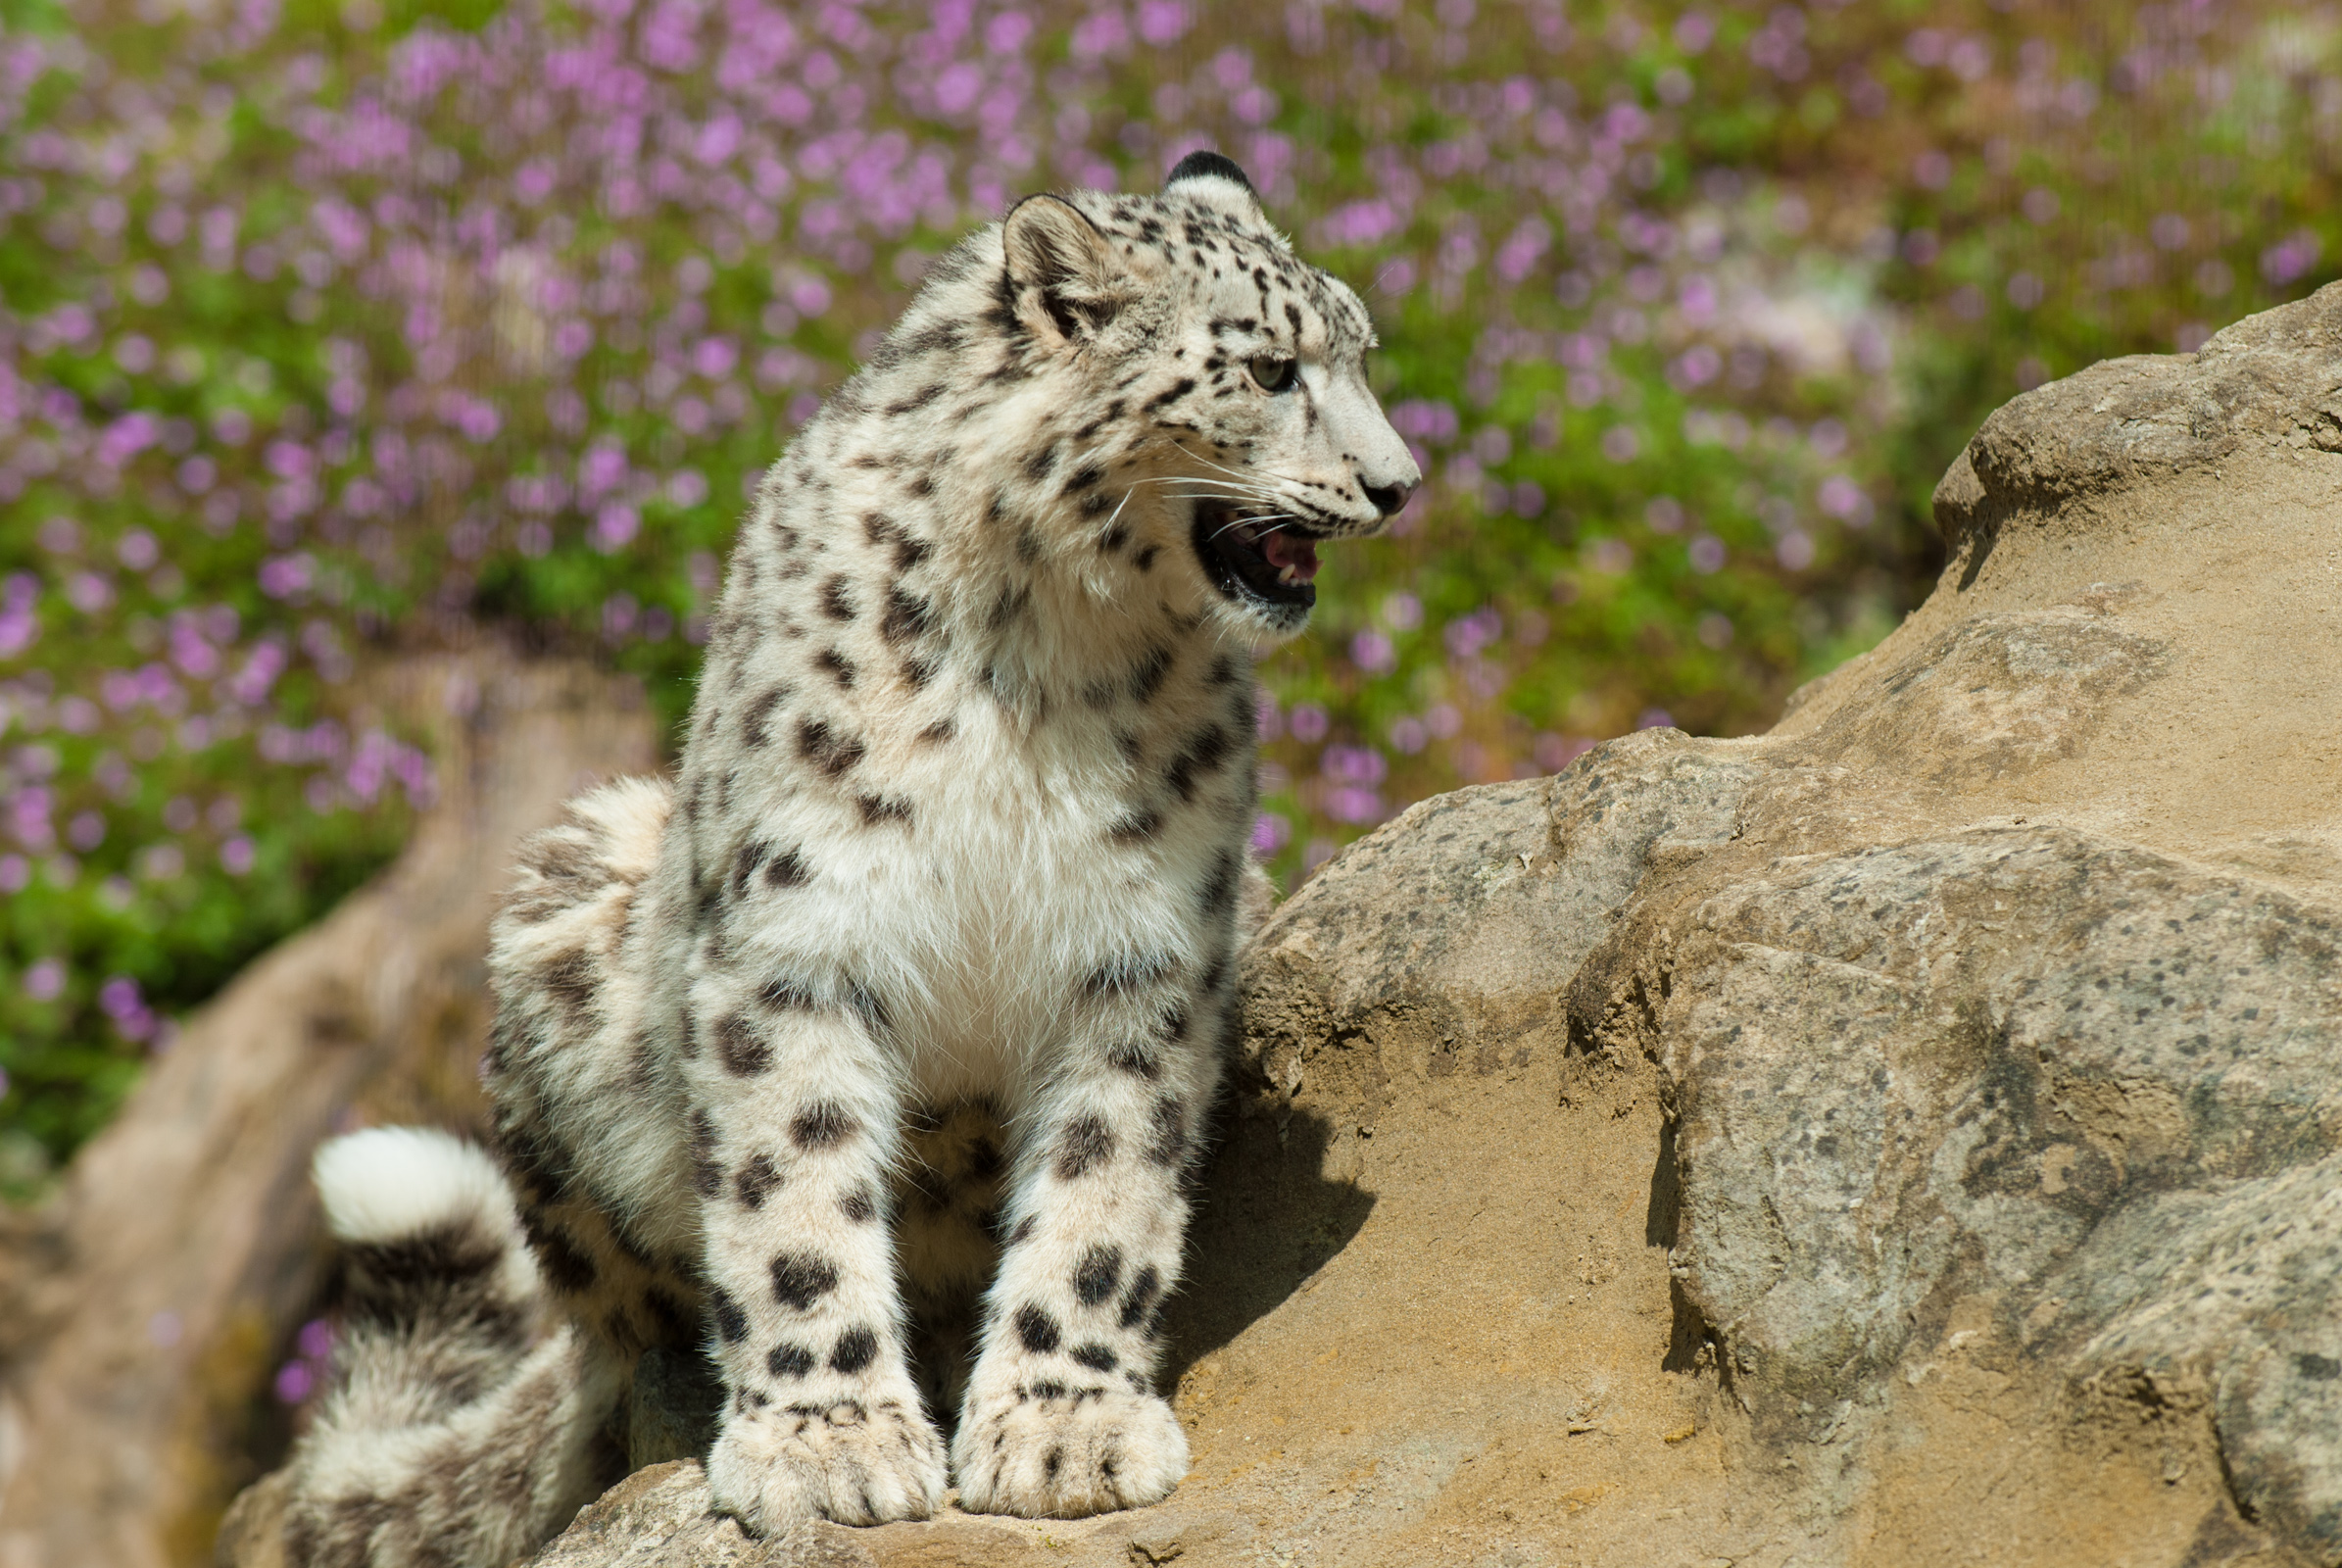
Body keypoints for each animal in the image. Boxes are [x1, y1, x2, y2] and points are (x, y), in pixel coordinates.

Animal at [279, 151, 1418, 1565]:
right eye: (1268, 369)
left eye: (1360, 353)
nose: (1399, 484)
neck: (1051, 651)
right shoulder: (797, 942)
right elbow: (795, 1196)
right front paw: (829, 1445)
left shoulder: (1141, 956)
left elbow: (1104, 1195)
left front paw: (1064, 1429)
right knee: (630, 1317)